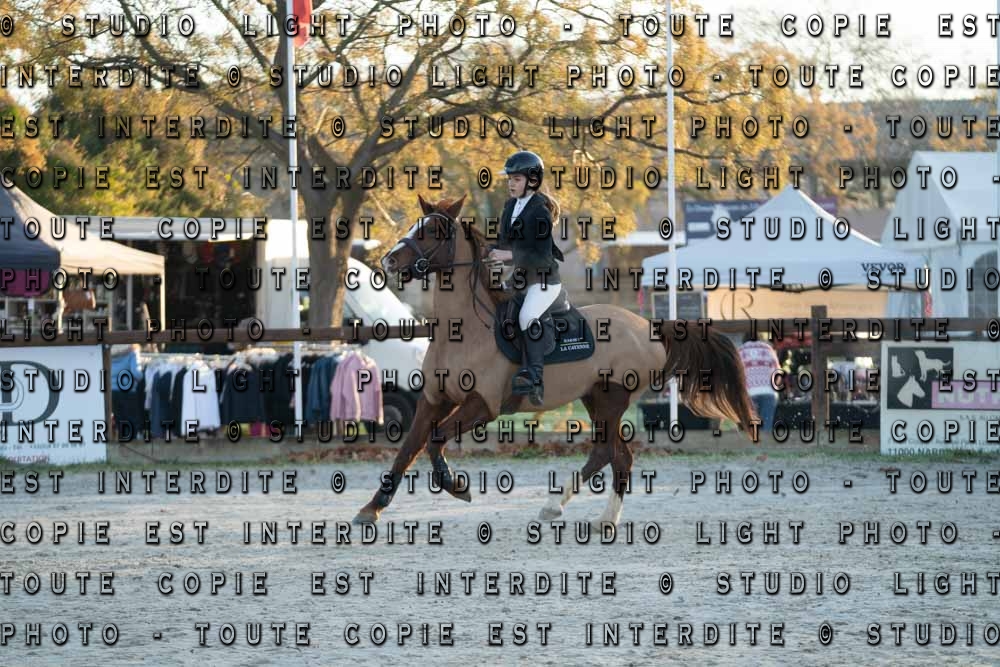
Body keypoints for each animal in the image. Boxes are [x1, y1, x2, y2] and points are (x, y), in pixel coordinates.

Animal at [352, 194, 756, 526]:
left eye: (430, 233)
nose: (389, 260)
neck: (463, 331)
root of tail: (648, 327)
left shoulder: (482, 405)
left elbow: (434, 442)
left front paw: (456, 486)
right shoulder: (433, 400)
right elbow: (407, 449)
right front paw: (371, 508)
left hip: (611, 398)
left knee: (606, 452)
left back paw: (560, 507)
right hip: (595, 399)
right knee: (618, 456)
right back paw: (597, 516)